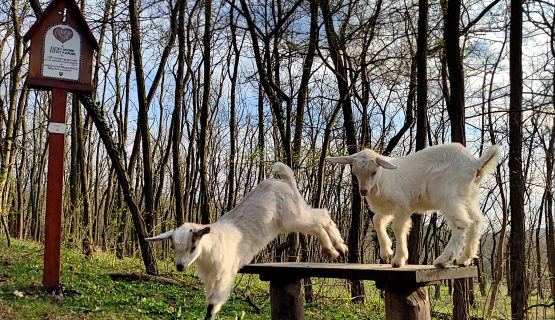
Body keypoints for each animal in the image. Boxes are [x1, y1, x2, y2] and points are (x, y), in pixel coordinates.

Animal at [146, 162, 346, 320]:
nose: (179, 267)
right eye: (174, 247)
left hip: (293, 216)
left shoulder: (224, 275)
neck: (210, 249)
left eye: (193, 246)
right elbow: (209, 302)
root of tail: (285, 180)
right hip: (292, 216)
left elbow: (213, 305)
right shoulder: (209, 279)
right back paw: (337, 249)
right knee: (320, 216)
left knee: (320, 219)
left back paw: (335, 249)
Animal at [326, 142, 500, 268]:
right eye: (355, 172)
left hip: (448, 196)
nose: (363, 191)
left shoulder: (403, 205)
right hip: (467, 197)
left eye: (373, 172)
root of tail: (475, 163)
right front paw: (386, 251)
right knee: (476, 220)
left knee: (461, 223)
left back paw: (443, 260)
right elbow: (377, 221)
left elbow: (398, 227)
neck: (383, 179)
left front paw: (398, 259)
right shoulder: (388, 208)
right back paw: (465, 259)